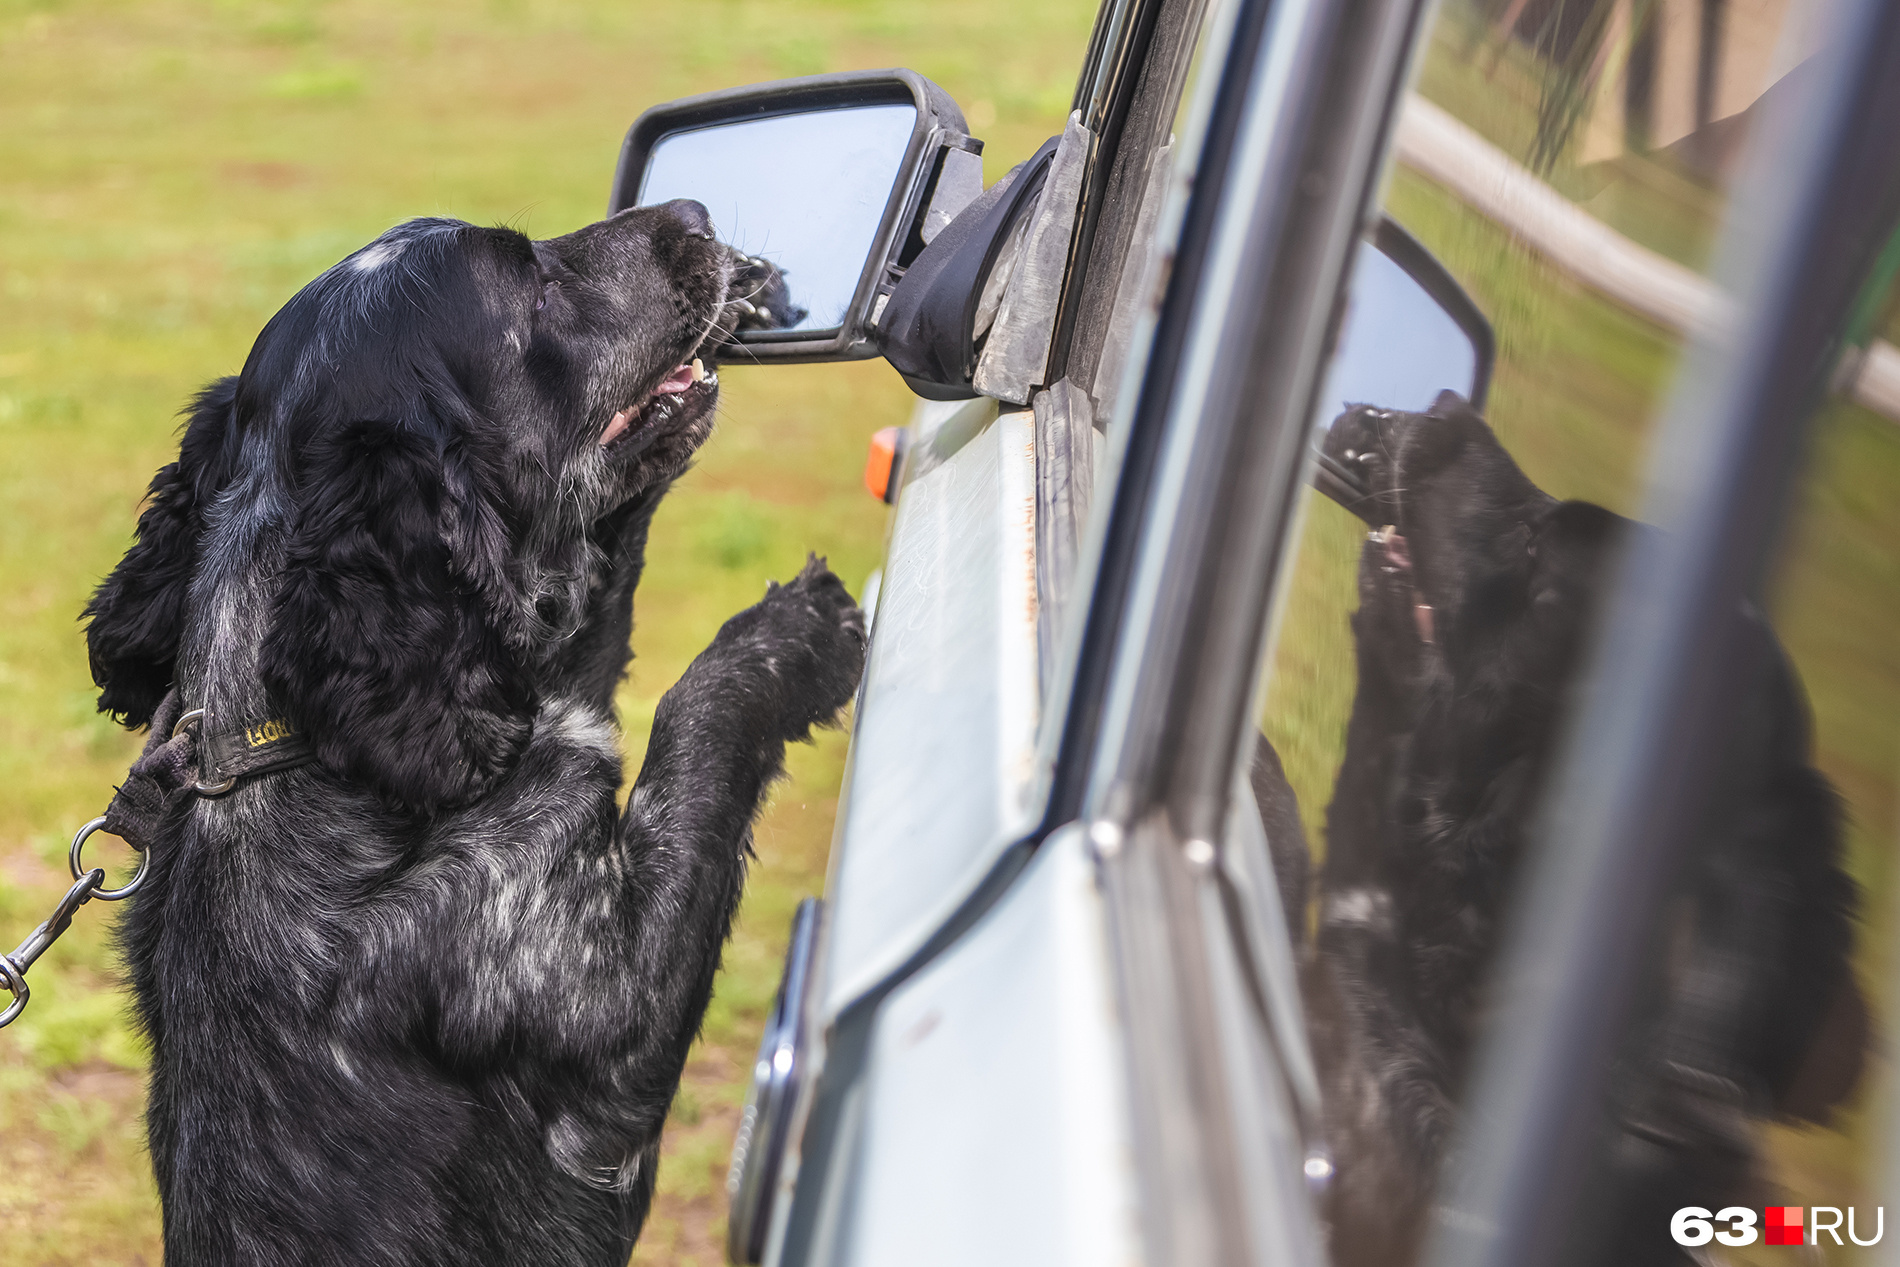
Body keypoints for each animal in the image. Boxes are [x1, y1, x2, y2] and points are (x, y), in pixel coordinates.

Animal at [81, 203, 866, 1261]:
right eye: (529, 279)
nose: (695, 214)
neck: (305, 746)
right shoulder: (610, 1008)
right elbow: (696, 716)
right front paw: (799, 632)